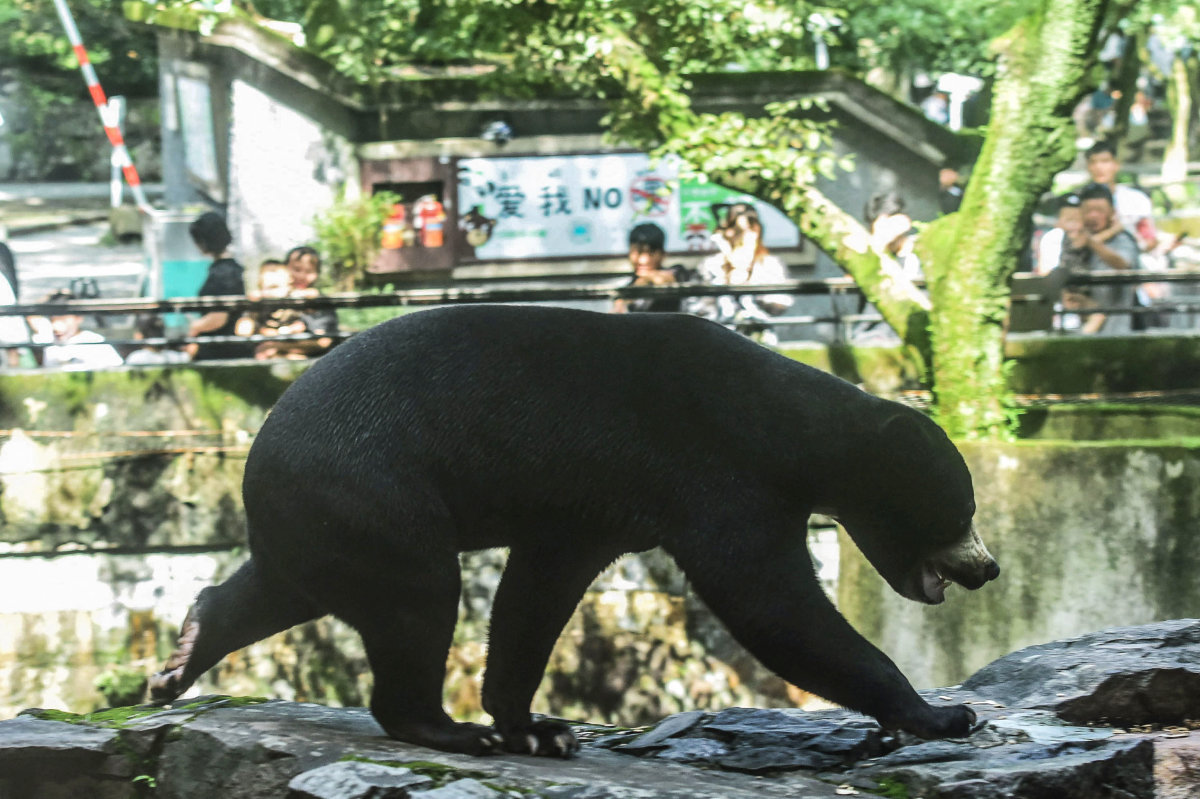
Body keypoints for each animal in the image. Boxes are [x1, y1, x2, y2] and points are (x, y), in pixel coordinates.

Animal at [149, 304, 1000, 757]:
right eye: (961, 511)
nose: (988, 567)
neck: (793, 428)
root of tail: (256, 451)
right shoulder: (719, 476)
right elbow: (771, 602)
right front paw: (940, 712)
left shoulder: (590, 508)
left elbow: (539, 592)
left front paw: (536, 725)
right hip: (375, 490)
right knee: (417, 598)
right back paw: (445, 728)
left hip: (322, 517)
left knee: (278, 587)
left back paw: (182, 654)